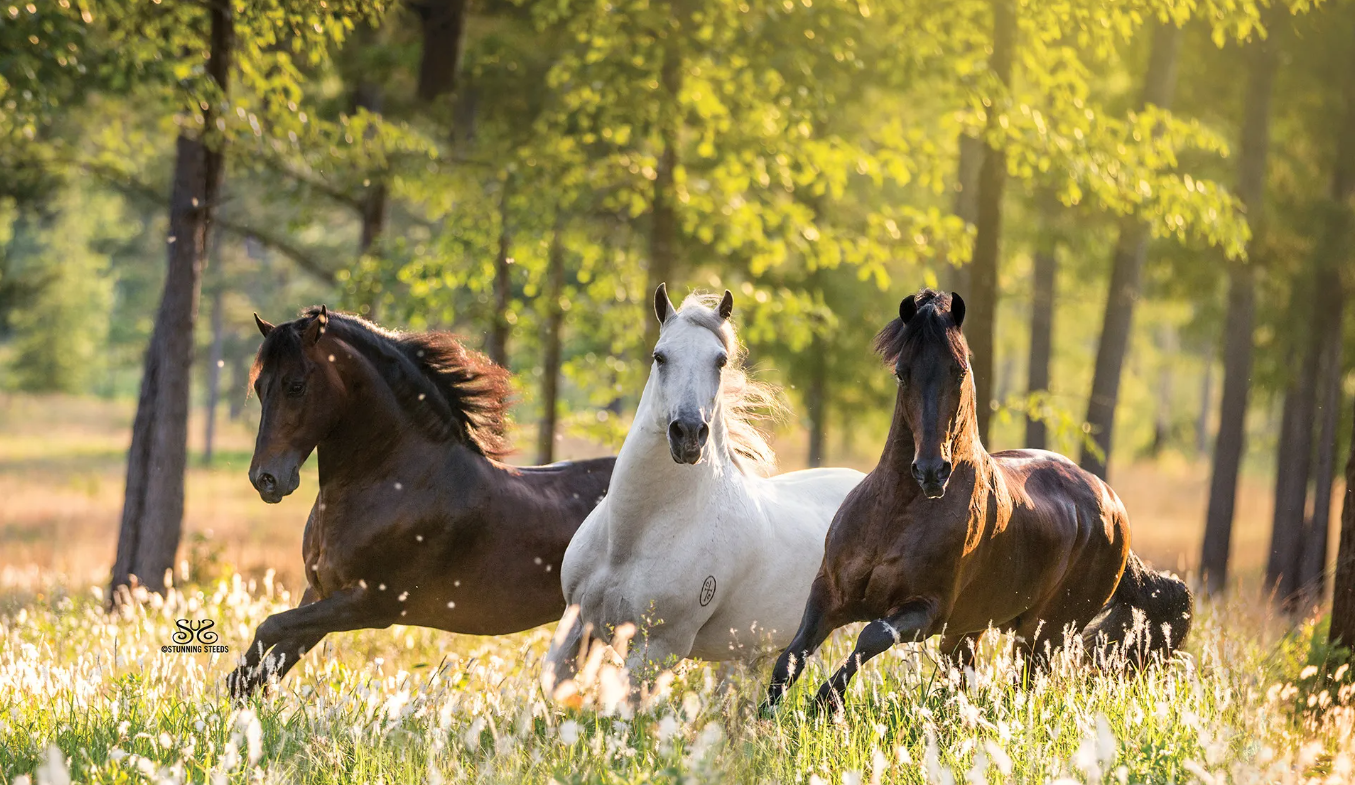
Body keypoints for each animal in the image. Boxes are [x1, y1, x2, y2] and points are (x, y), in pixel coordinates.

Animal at [227, 306, 615, 697]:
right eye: (259, 387)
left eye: (296, 385)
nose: (265, 479)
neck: (395, 481)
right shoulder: (322, 592)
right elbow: (266, 666)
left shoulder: (368, 604)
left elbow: (270, 627)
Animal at [541, 286, 864, 692]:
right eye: (660, 356)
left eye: (720, 360)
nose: (689, 435)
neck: (630, 541)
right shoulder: (576, 627)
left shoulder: (657, 648)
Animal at [763, 289, 1192, 713]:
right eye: (902, 372)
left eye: (959, 370)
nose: (931, 471)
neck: (894, 516)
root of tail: (1112, 505)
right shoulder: (828, 592)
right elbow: (791, 657)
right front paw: (765, 717)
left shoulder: (926, 611)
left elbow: (871, 636)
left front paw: (825, 701)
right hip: (968, 631)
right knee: (964, 682)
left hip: (1043, 632)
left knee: (1025, 684)